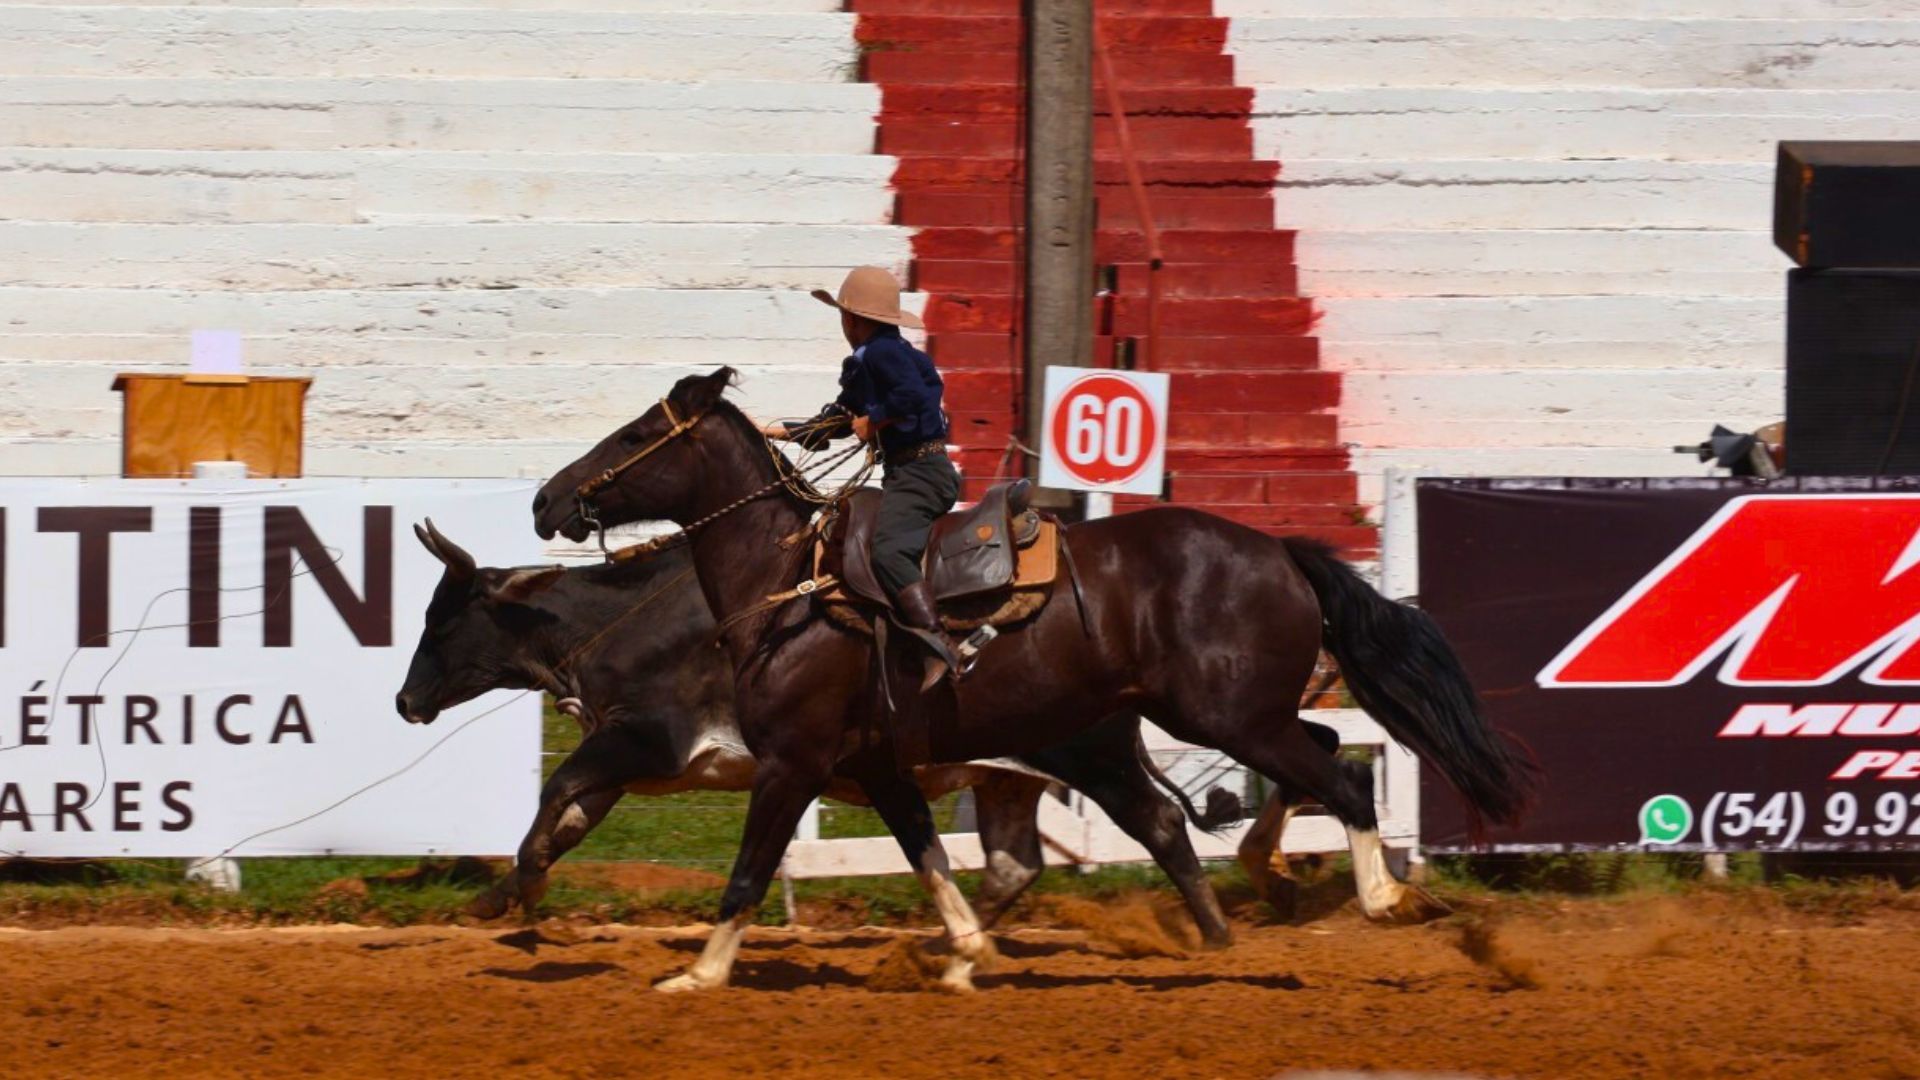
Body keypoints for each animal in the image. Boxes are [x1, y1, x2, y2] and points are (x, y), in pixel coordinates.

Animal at [533, 365, 1536, 991]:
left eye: (636, 433)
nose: (547, 499)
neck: (791, 584)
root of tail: (1279, 550)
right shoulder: (878, 767)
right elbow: (932, 858)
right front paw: (963, 954)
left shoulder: (792, 764)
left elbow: (747, 873)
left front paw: (696, 973)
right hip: (1223, 715)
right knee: (1308, 758)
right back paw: (1266, 876)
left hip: (1226, 717)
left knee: (1343, 776)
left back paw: (1378, 897)